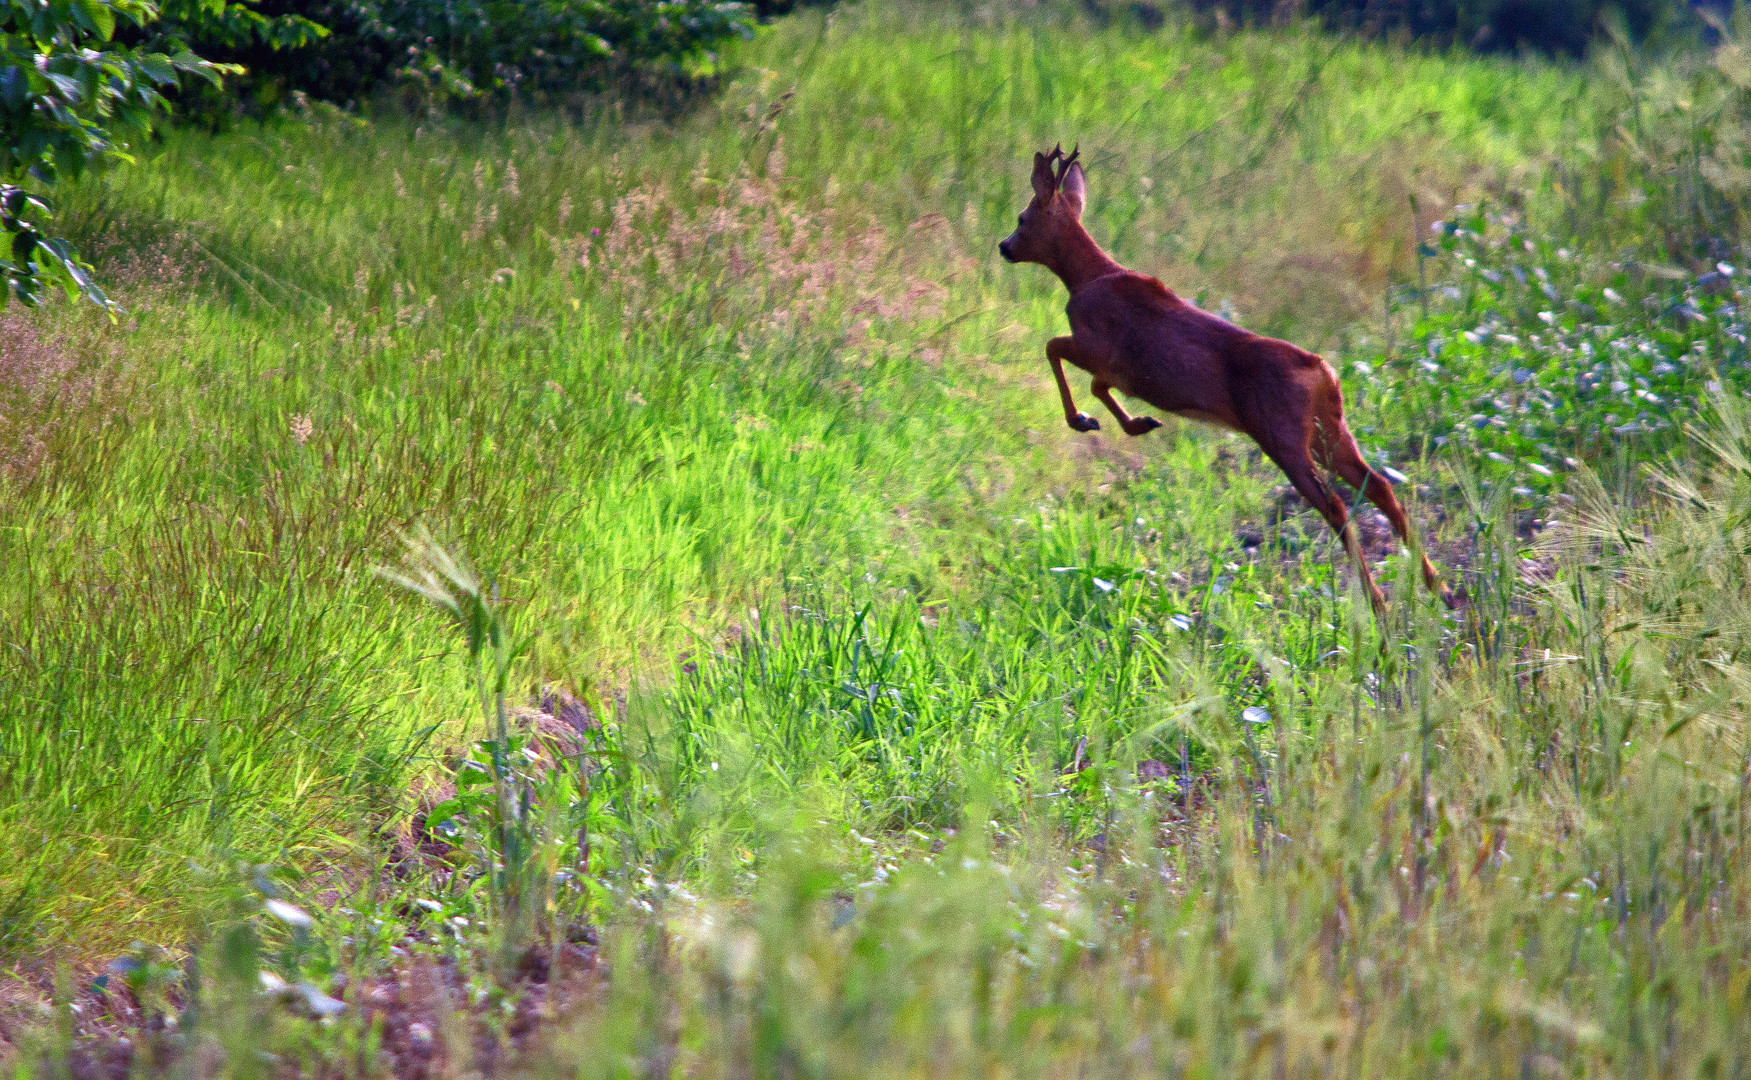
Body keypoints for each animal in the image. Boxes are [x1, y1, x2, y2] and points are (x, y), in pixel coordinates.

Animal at [1001, 146, 1449, 609]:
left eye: (1021, 217)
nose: (1003, 247)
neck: (1085, 277)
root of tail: (1321, 371)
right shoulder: (1119, 369)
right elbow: (1096, 385)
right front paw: (1136, 423)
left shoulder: (1095, 345)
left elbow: (1053, 348)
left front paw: (1083, 420)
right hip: (1328, 429)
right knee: (1377, 485)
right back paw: (1440, 587)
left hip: (1280, 433)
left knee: (1334, 504)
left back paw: (1377, 600)